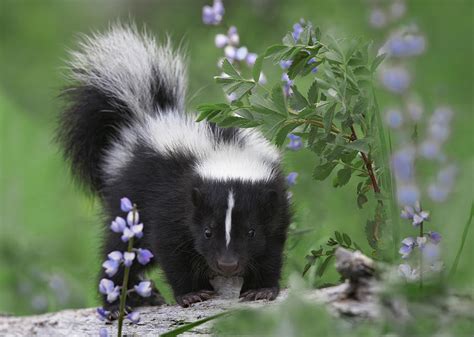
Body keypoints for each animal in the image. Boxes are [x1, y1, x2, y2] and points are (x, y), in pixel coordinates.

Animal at [57, 25, 290, 312]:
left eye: (250, 231)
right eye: (207, 232)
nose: (227, 265)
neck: (225, 151)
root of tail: (146, 119)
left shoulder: (276, 202)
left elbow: (272, 245)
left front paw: (262, 288)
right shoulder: (171, 196)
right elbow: (170, 246)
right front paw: (192, 293)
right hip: (130, 201)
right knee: (121, 252)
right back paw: (121, 301)